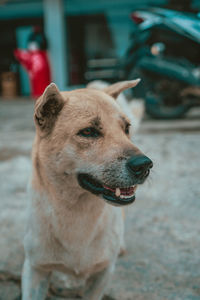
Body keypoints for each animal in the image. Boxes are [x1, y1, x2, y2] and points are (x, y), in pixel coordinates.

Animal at [21, 80, 152, 300]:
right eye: (88, 132)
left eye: (126, 128)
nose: (144, 165)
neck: (76, 211)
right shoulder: (35, 269)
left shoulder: (103, 274)